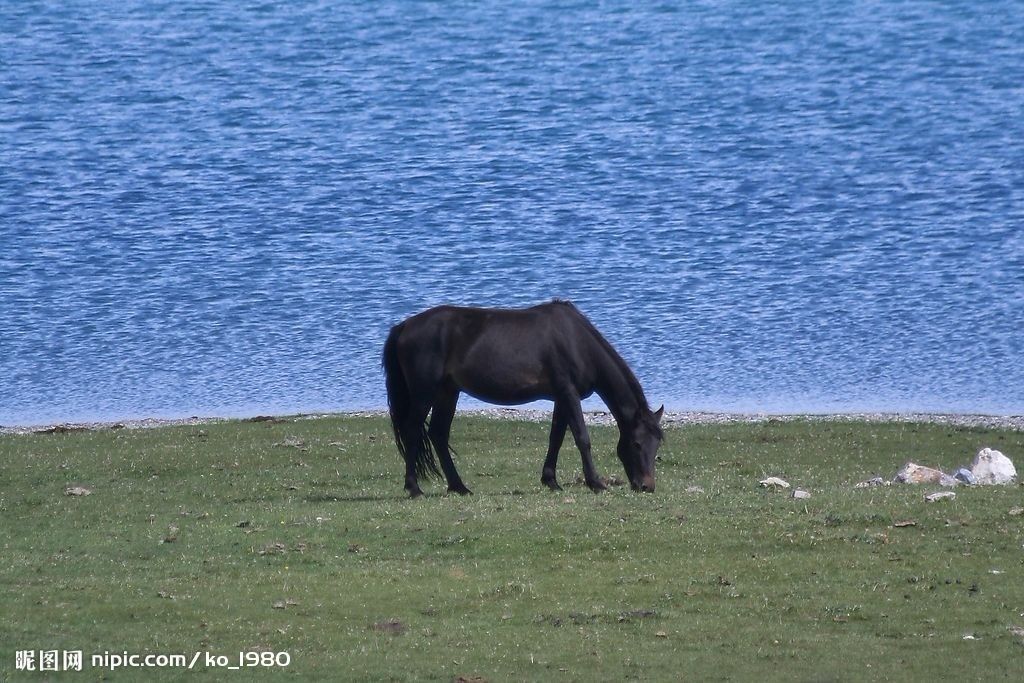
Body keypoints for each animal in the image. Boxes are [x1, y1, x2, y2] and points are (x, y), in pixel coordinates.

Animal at [378, 301, 663, 499]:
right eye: (636, 444)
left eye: (657, 444)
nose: (647, 486)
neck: (577, 342)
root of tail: (404, 327)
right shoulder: (568, 393)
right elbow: (582, 438)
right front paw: (596, 483)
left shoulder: (561, 397)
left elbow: (556, 437)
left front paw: (551, 481)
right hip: (424, 392)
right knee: (413, 431)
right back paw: (414, 488)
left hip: (448, 391)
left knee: (438, 433)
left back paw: (459, 487)